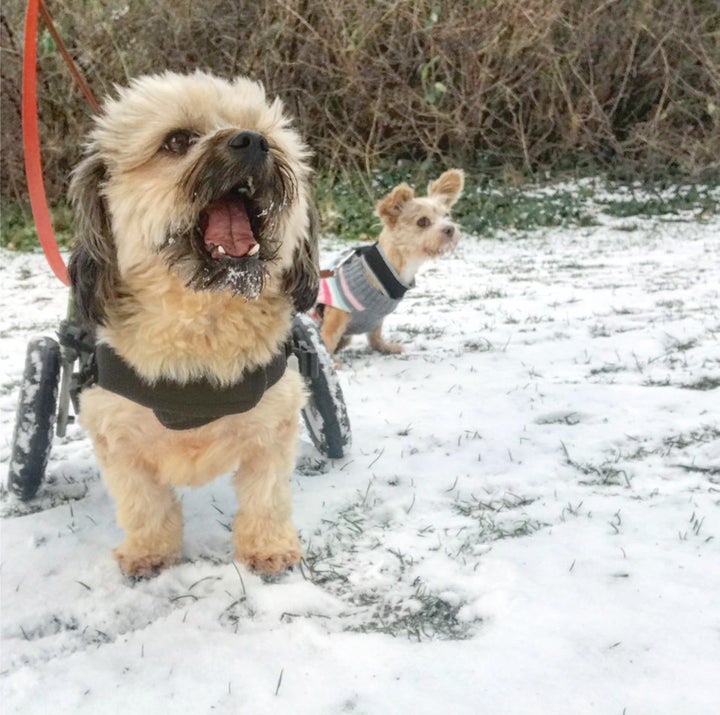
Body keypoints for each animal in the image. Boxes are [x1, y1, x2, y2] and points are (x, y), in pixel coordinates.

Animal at [67, 71, 318, 576]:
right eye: (177, 140)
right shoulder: (114, 434)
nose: (253, 141)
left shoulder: (275, 425)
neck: (204, 323)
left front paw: (269, 548)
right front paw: (148, 552)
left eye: (266, 131)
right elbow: (144, 502)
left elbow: (266, 497)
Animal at [314, 171, 462, 356]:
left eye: (446, 215)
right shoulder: (336, 314)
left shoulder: (378, 319)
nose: (450, 229)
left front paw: (384, 347)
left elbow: (375, 336)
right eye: (422, 221)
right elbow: (325, 342)